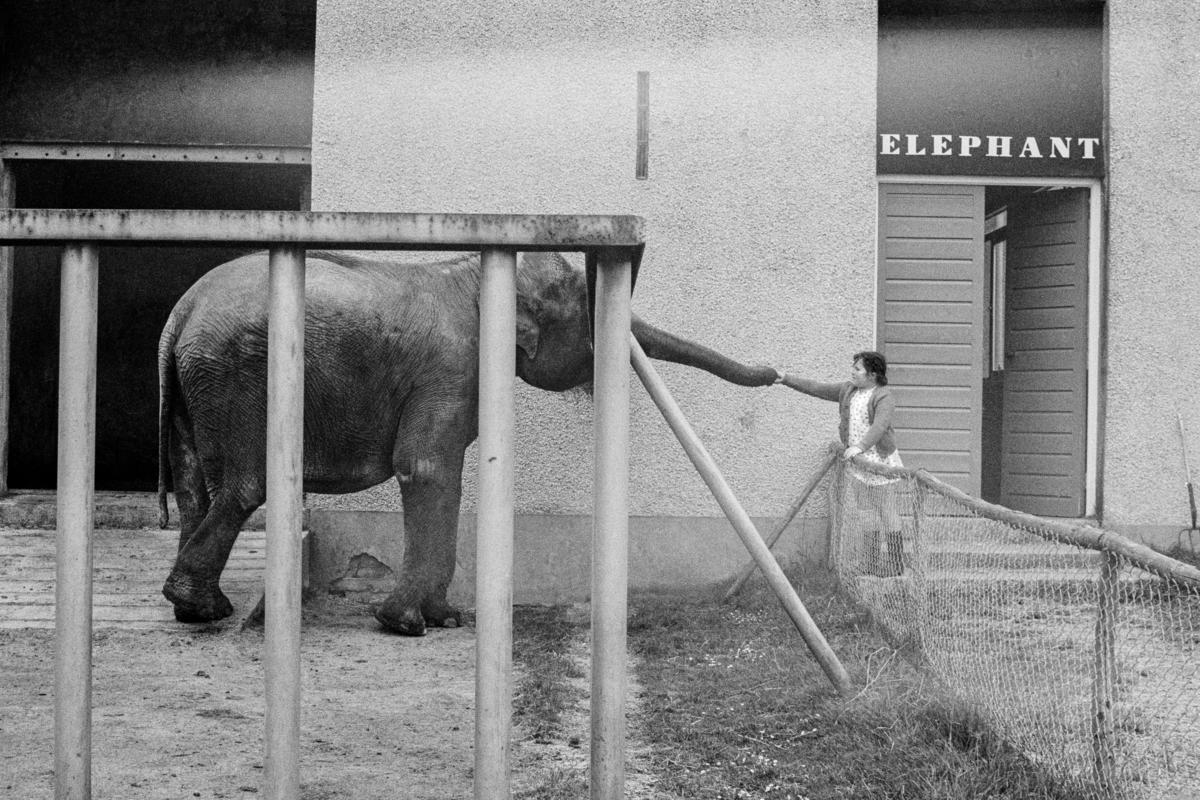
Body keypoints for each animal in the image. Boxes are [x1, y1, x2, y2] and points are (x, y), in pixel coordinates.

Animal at [159, 247, 777, 633]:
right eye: (587, 314)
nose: (774, 371)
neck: (477, 274)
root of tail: (180, 314)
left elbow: (446, 477)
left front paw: (445, 620)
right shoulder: (450, 368)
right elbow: (427, 469)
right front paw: (406, 626)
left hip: (199, 386)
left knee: (194, 489)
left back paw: (200, 610)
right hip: (236, 376)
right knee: (244, 487)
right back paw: (199, 607)